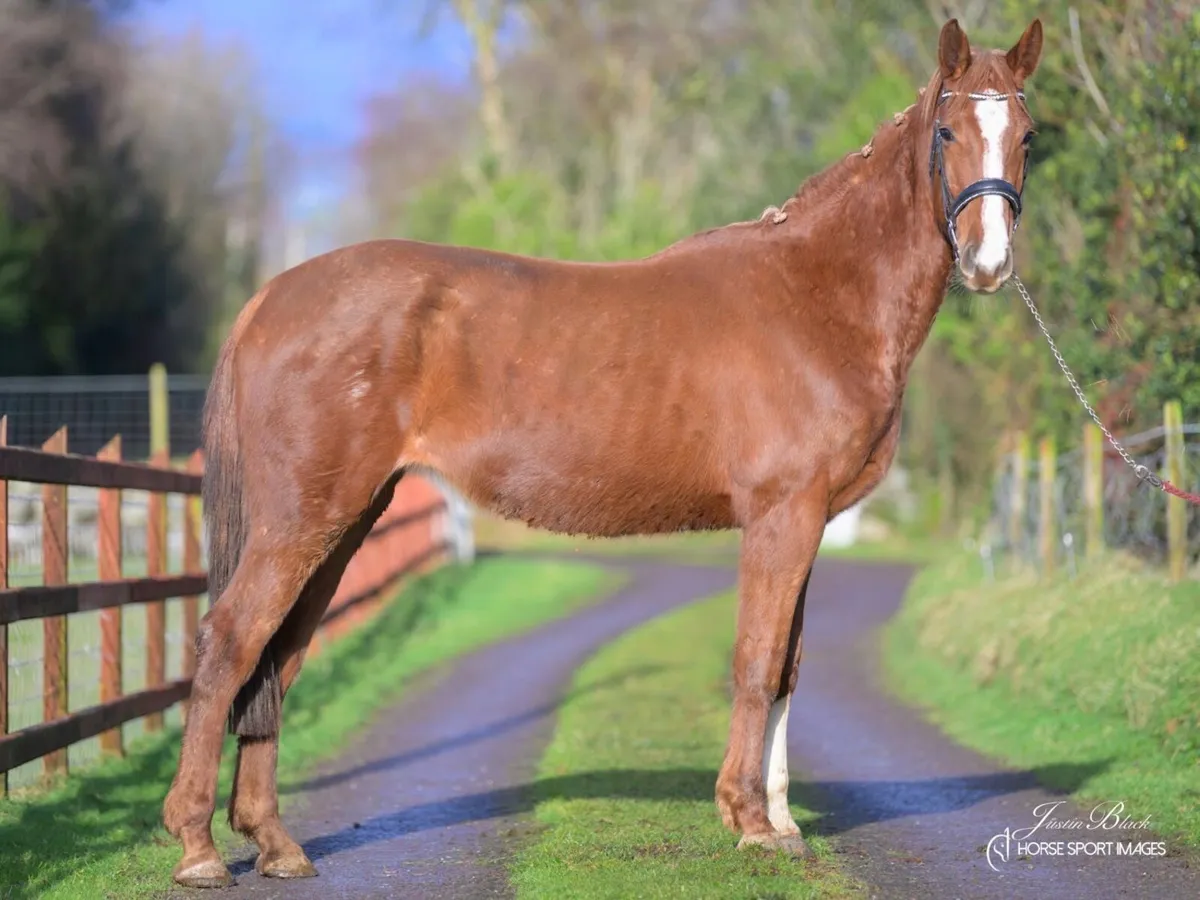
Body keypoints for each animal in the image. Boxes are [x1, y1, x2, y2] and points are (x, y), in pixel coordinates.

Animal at [163, 17, 1043, 887]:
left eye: (1028, 136)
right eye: (948, 130)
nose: (989, 263)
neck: (818, 296)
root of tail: (271, 298)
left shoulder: (813, 520)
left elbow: (790, 665)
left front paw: (786, 824)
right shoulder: (781, 516)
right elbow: (757, 661)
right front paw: (750, 822)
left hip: (342, 523)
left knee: (279, 657)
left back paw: (274, 843)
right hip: (302, 521)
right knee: (231, 643)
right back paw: (198, 847)